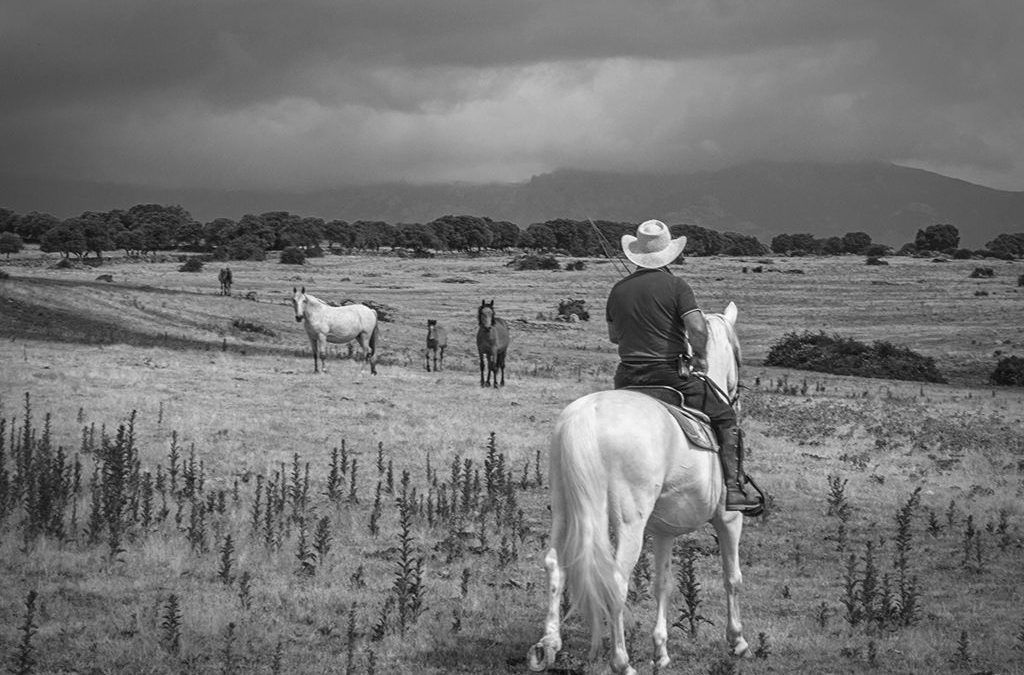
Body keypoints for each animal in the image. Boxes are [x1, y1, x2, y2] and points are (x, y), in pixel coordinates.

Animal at [528, 302, 750, 675]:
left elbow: (663, 583)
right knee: (617, 580)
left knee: (555, 565)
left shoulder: (663, 531)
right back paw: (621, 661)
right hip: (630, 521)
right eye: (737, 354)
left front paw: (661, 650)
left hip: (563, 508)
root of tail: (587, 416)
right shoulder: (729, 520)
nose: (735, 397)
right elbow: (732, 577)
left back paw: (549, 646)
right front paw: (738, 641)